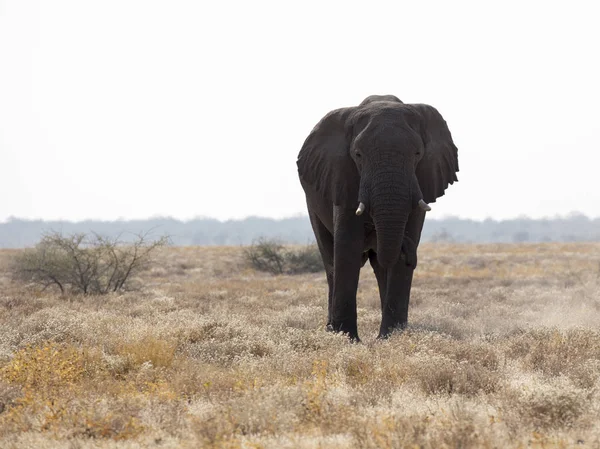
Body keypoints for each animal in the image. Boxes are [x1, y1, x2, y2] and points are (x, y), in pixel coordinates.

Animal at [296, 94, 460, 340]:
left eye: (417, 154)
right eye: (358, 155)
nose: (410, 253)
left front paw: (391, 338)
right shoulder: (344, 177)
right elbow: (347, 247)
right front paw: (348, 339)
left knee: (380, 267)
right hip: (312, 203)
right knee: (330, 259)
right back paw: (331, 330)